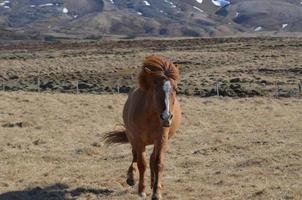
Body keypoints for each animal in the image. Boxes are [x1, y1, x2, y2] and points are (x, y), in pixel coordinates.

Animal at [105, 55, 182, 200]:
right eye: (156, 88)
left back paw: (152, 182)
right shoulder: (138, 139)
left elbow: (158, 163)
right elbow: (142, 164)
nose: (166, 117)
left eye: (175, 89)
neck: (150, 116)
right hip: (133, 138)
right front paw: (141, 190)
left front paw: (157, 192)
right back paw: (131, 177)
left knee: (152, 159)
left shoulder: (161, 139)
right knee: (135, 155)